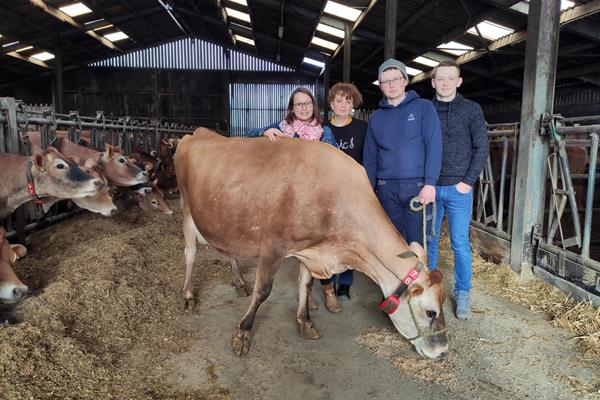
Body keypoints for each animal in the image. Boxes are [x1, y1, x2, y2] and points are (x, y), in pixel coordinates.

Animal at [176, 129, 448, 360]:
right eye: (431, 312)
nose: (443, 351)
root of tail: (196, 133)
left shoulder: (310, 249)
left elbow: (305, 286)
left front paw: (305, 322)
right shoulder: (272, 245)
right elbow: (263, 290)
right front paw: (243, 333)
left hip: (227, 219)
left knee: (230, 249)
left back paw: (239, 282)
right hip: (187, 210)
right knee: (190, 253)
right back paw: (188, 295)